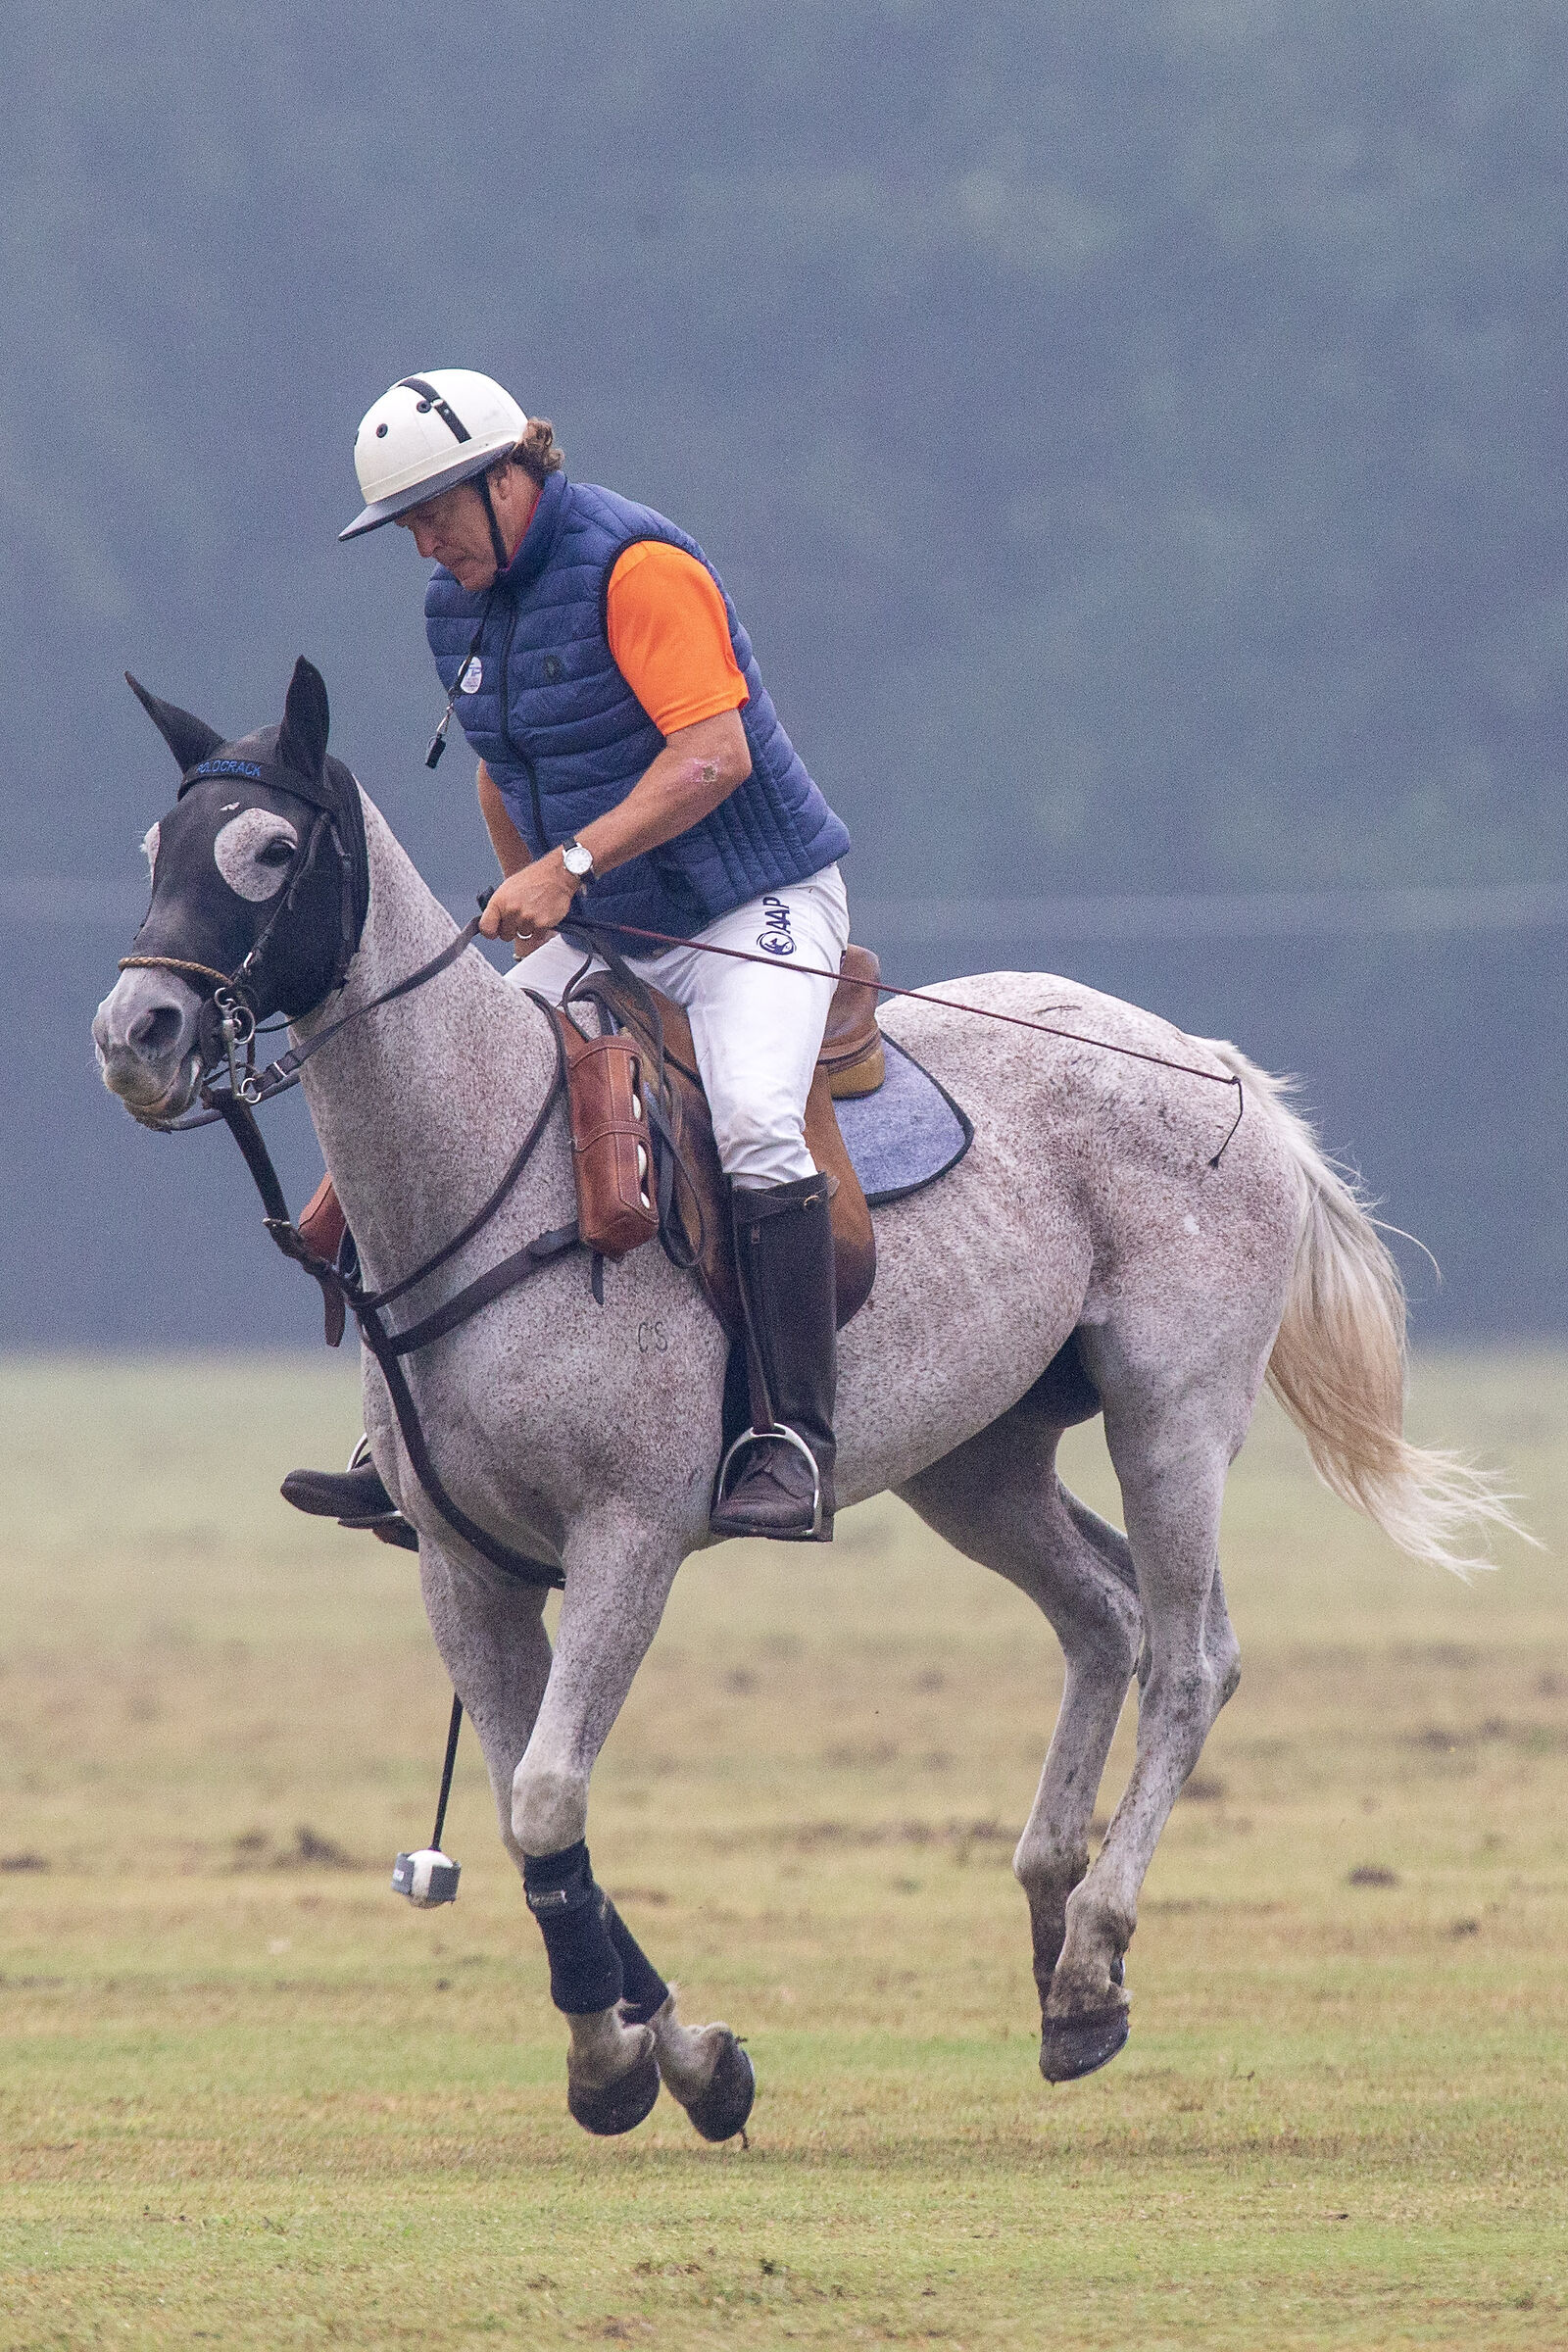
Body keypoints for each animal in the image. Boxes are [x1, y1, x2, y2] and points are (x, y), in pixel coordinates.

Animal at [93, 657, 1514, 2139]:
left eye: (267, 852)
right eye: (155, 849)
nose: (134, 1035)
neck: (485, 1167)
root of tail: (1224, 1066)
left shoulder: (629, 1535)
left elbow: (545, 1797)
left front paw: (622, 2064)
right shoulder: (459, 1562)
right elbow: (533, 1815)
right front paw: (683, 2053)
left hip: (1169, 1411)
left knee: (1190, 1656)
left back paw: (1093, 1953)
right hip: (976, 1459)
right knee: (1104, 1616)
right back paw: (1055, 1930)